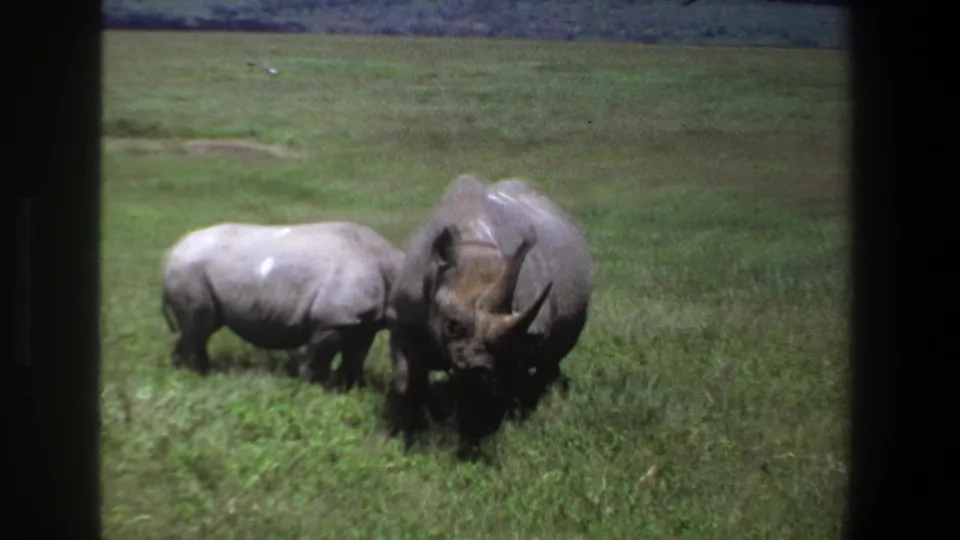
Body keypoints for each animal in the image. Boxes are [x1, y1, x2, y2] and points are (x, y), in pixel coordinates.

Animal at [161, 221, 405, 390]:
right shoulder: (334, 319)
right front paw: (312, 389)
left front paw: (352, 390)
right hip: (188, 269)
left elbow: (356, 358)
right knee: (198, 327)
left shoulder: (362, 323)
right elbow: (317, 358)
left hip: (192, 268)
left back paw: (199, 372)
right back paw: (190, 376)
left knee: (204, 328)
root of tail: (172, 251)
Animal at [384, 174, 594, 439]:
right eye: (451, 325)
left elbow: (486, 386)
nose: (480, 366)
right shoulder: (404, 317)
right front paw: (407, 431)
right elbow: (405, 380)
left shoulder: (519, 332)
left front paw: (474, 430)